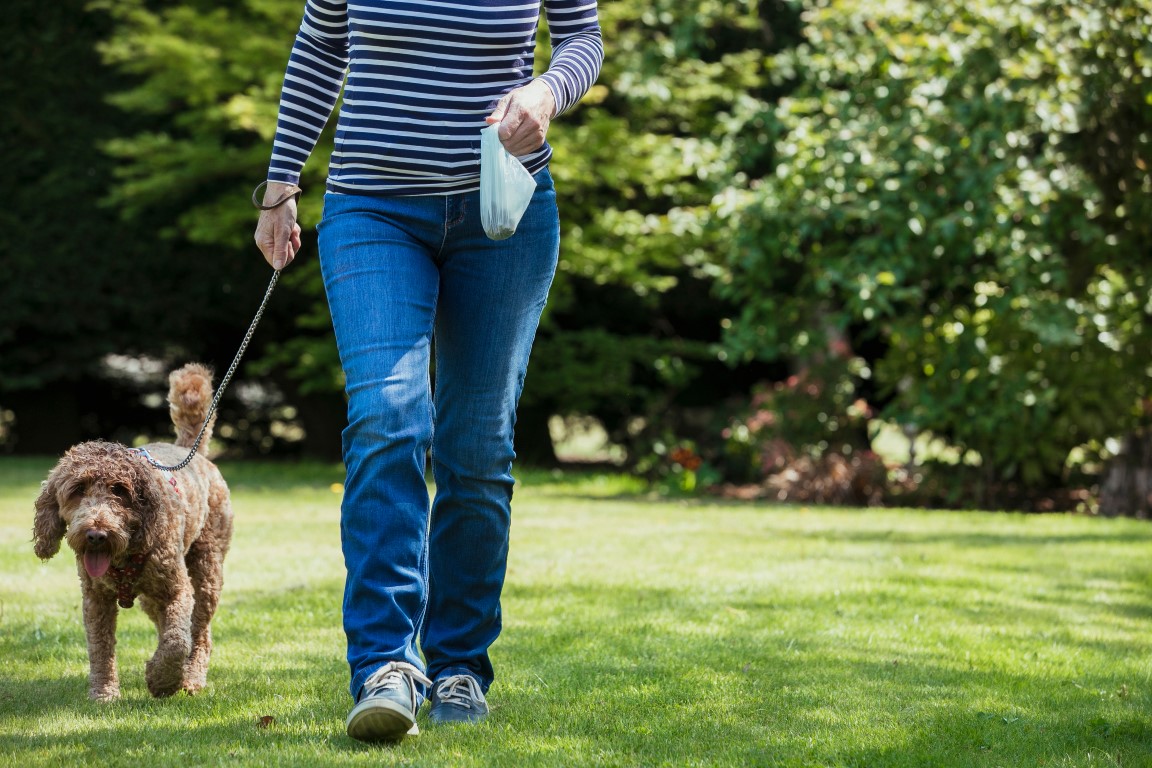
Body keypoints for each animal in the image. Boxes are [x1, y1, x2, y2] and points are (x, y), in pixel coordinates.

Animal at [33, 366, 232, 704]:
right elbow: (100, 649)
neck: (123, 556)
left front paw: (161, 680)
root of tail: (189, 449)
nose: (96, 534)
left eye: (120, 491)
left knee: (199, 631)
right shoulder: (95, 598)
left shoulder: (177, 591)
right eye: (77, 490)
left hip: (207, 570)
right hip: (152, 597)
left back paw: (191, 678)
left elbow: (177, 642)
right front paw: (104, 693)